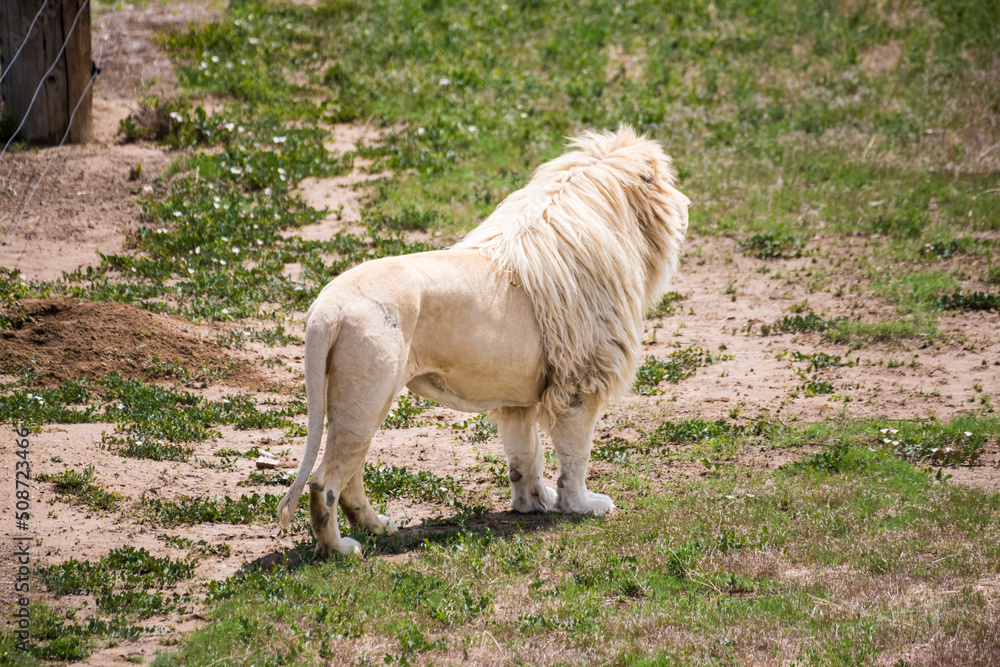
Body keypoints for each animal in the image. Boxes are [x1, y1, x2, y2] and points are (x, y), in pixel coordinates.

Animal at [277, 126, 689, 557]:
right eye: (669, 182)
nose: (688, 205)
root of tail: (326, 308)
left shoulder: (517, 399)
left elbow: (525, 454)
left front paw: (532, 503)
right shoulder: (580, 381)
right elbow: (576, 454)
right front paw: (581, 505)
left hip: (365, 401)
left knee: (351, 475)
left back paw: (379, 527)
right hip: (366, 396)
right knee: (325, 482)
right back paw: (341, 549)